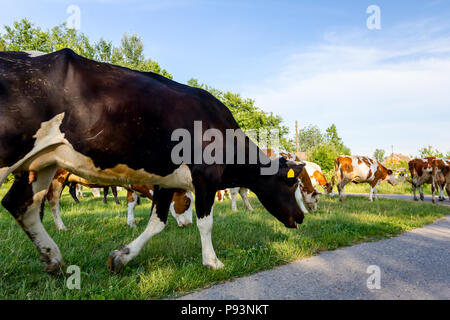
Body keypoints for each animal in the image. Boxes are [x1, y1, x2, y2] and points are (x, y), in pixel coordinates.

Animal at [0, 48, 306, 274]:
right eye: (291, 185)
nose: (302, 217)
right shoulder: (205, 176)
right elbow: (205, 223)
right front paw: (212, 261)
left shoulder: (168, 181)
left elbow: (157, 223)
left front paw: (121, 256)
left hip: (41, 163)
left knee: (20, 204)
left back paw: (54, 259)